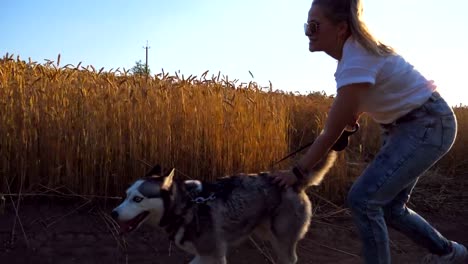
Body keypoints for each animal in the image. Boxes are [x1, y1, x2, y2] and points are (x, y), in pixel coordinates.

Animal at [110, 151, 336, 264]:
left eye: (138, 199)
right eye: (126, 195)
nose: (113, 213)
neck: (187, 207)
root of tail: (295, 181)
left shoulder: (215, 255)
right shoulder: (204, 255)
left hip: (282, 240)